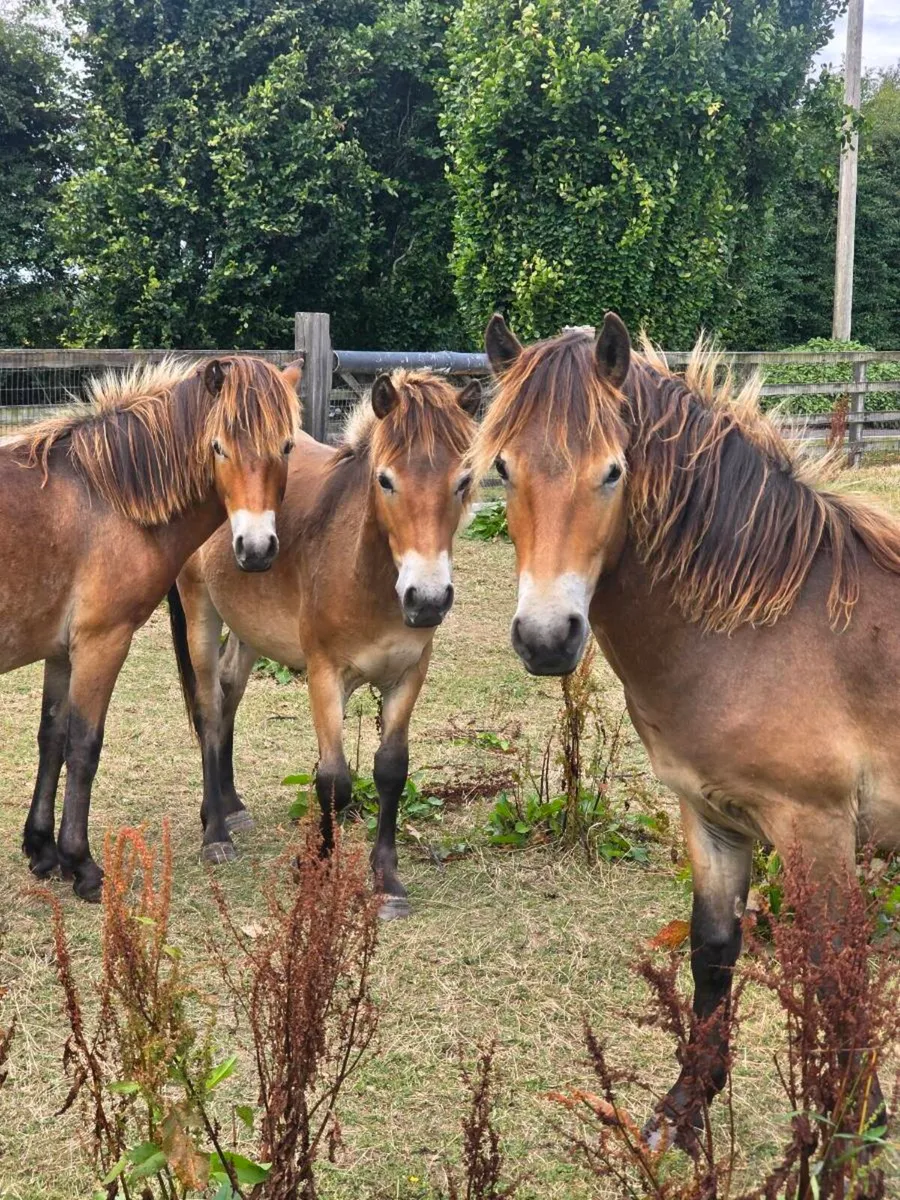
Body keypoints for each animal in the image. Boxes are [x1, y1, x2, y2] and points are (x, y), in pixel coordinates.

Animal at [4, 355, 301, 900]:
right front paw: (82, 865)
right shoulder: (102, 642)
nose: (255, 549)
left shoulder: (61, 650)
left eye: (286, 446)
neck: (105, 497)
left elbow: (52, 738)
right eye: (218, 446)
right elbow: (83, 746)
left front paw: (42, 850)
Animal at [167, 369, 480, 916]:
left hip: (248, 629)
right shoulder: (324, 674)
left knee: (228, 695)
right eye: (385, 480)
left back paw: (231, 806)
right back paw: (216, 834)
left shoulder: (409, 675)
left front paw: (387, 881)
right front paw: (319, 868)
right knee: (208, 707)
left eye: (462, 481)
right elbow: (332, 779)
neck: (365, 576)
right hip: (200, 612)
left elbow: (391, 771)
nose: (427, 599)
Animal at [475, 312, 900, 1145]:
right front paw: (685, 1107)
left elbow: (835, 971)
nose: (546, 638)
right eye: (503, 470)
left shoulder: (817, 828)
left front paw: (859, 1125)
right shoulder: (713, 820)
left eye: (613, 472)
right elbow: (713, 952)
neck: (763, 625)